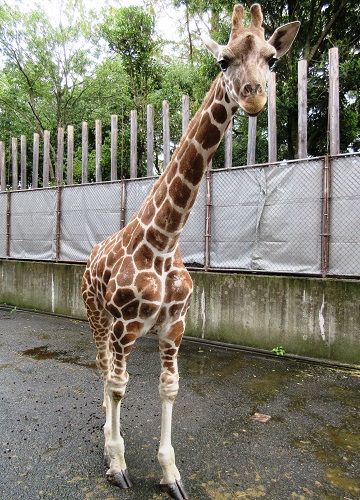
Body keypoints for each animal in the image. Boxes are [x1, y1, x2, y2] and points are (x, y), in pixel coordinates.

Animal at [82, 4, 300, 500]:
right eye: (223, 60)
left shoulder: (174, 326)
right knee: (104, 368)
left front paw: (170, 474)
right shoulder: (123, 325)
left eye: (272, 58)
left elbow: (168, 389)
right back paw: (106, 438)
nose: (253, 96)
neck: (164, 242)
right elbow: (119, 386)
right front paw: (118, 463)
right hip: (95, 316)